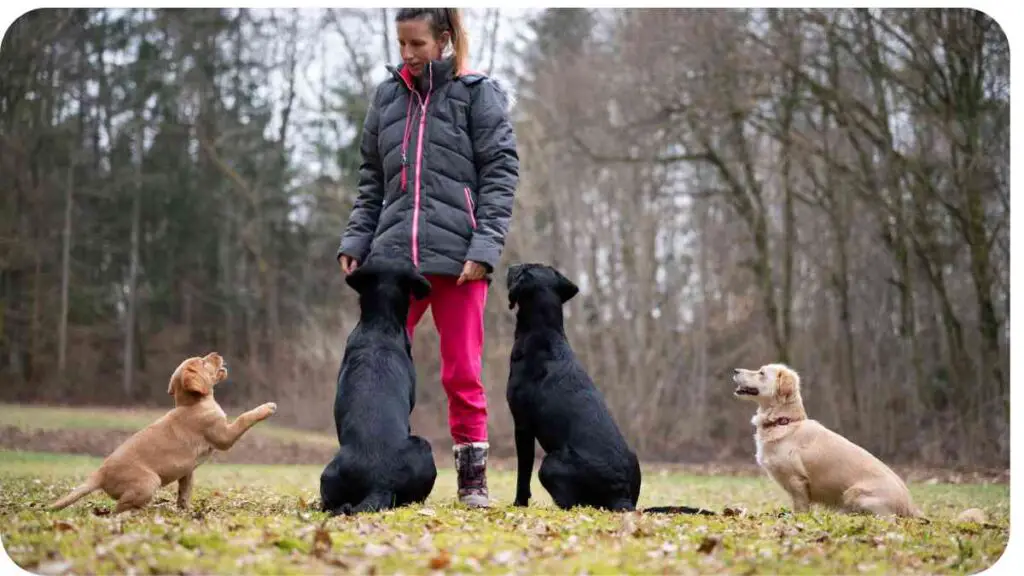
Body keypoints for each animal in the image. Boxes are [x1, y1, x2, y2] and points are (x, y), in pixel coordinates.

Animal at [48, 352, 276, 512]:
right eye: (203, 362)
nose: (217, 353)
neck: (193, 404)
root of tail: (99, 474)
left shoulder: (187, 470)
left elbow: (184, 492)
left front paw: (186, 512)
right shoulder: (224, 436)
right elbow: (245, 417)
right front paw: (266, 408)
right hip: (149, 482)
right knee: (119, 510)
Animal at [503, 262, 638, 508]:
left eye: (524, 268)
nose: (511, 266)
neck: (545, 332)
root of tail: (620, 494)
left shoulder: (522, 425)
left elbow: (523, 473)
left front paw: (519, 503)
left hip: (549, 463)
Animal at [733, 362, 925, 516]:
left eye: (761, 373)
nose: (735, 370)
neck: (783, 421)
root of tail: (911, 507)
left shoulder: (797, 481)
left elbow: (800, 508)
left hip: (853, 493)